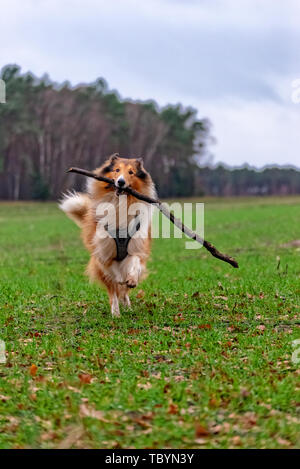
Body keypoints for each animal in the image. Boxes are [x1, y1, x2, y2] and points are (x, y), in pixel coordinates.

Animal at [59, 155, 157, 316]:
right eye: (117, 170)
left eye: (131, 172)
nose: (121, 182)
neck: (120, 204)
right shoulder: (104, 255)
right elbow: (114, 280)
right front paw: (116, 306)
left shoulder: (136, 247)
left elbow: (135, 263)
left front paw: (131, 279)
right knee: (113, 291)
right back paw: (116, 313)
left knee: (123, 291)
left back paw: (127, 305)